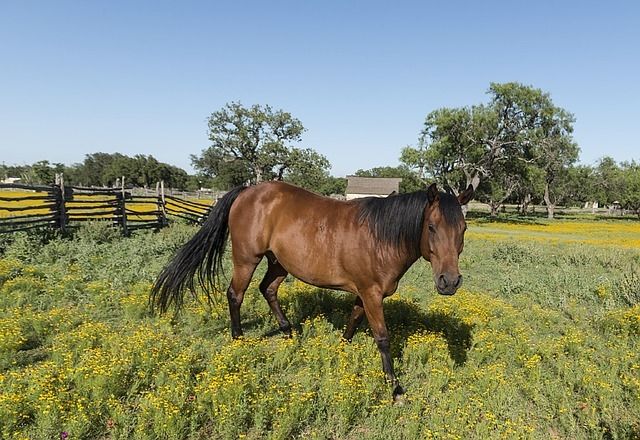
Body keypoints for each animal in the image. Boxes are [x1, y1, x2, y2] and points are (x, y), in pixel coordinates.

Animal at [151, 179, 476, 398]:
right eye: (431, 227)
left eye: (463, 229)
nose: (449, 281)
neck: (380, 237)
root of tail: (246, 191)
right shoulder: (371, 293)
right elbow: (383, 338)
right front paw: (394, 387)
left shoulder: (364, 293)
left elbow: (352, 321)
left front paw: (341, 351)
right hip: (246, 259)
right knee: (236, 295)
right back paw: (239, 338)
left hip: (279, 263)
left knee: (268, 290)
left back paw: (288, 332)